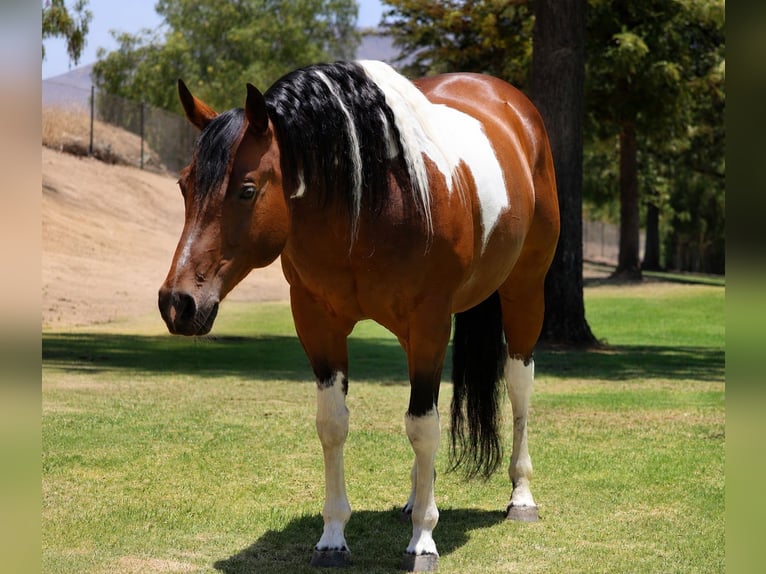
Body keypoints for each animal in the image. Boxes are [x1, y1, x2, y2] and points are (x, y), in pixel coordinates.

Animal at [158, 60, 559, 571]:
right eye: (184, 185)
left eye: (247, 190)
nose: (178, 302)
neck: (372, 201)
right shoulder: (319, 323)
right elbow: (336, 425)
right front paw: (332, 538)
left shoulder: (430, 321)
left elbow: (423, 426)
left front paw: (423, 540)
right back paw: (415, 496)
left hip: (523, 292)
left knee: (518, 384)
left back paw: (521, 497)